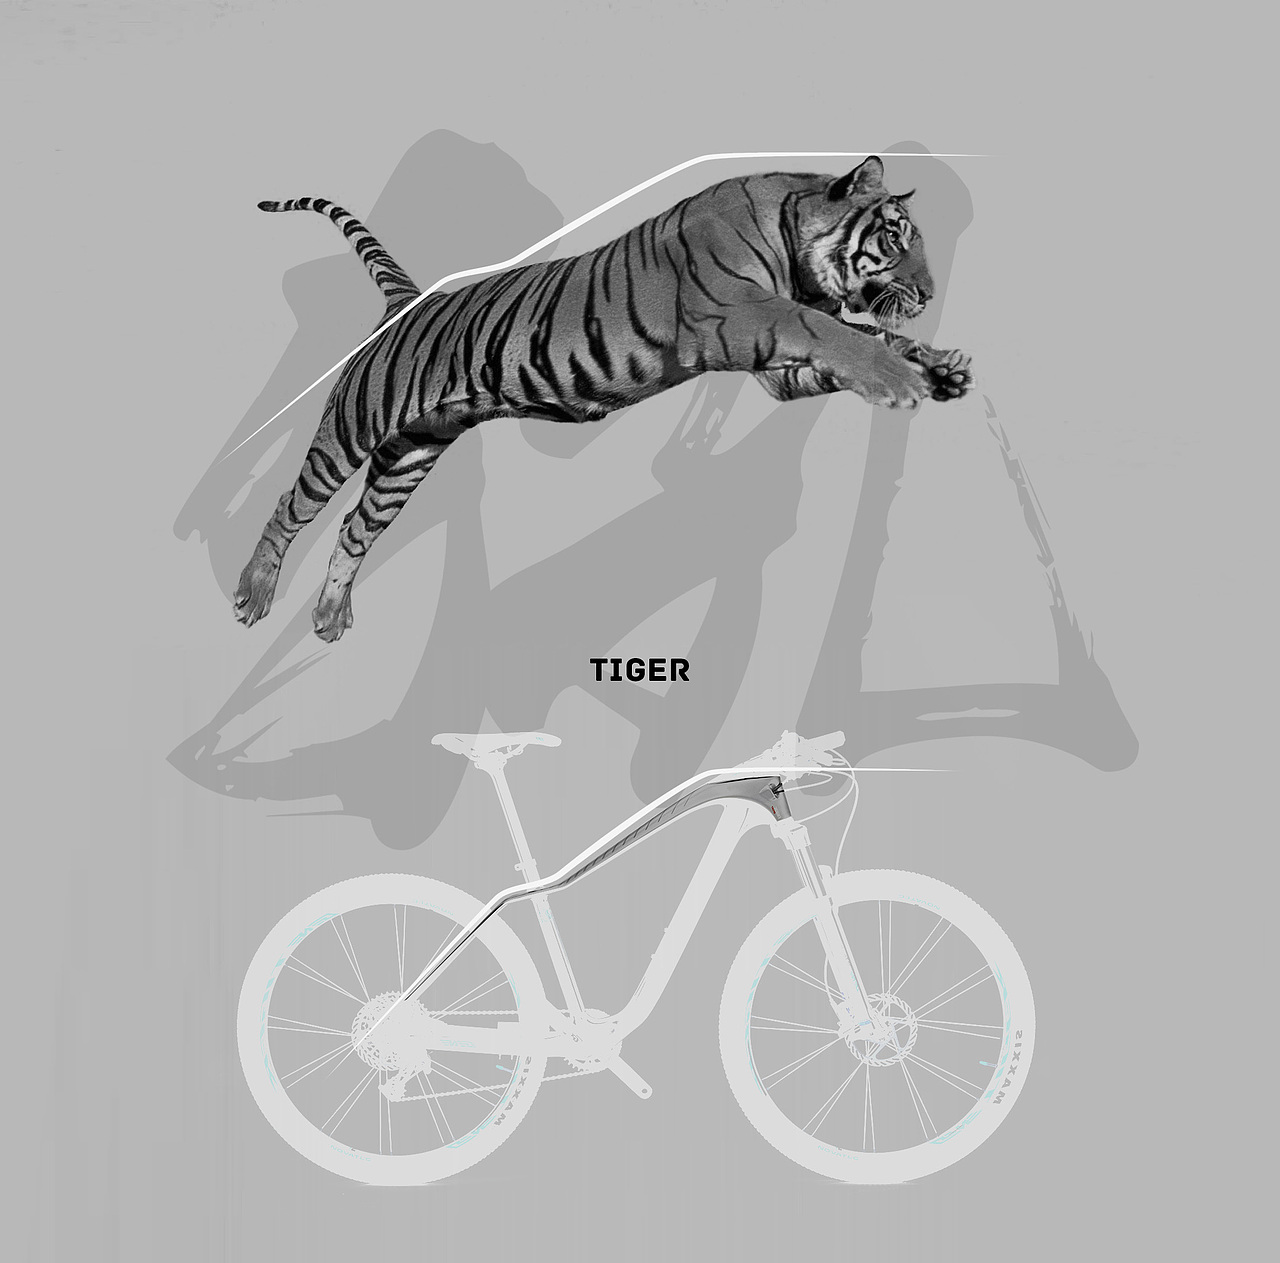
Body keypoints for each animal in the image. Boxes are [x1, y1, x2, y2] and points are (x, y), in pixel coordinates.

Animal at [234, 156, 973, 642]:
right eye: (896, 237)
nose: (930, 293)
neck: (795, 250)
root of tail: (408, 299)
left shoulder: (774, 368)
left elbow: (864, 334)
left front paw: (940, 367)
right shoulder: (745, 317)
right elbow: (839, 333)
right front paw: (904, 379)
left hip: (411, 455)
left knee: (356, 529)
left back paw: (330, 616)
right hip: (353, 429)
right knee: (291, 505)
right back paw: (252, 594)